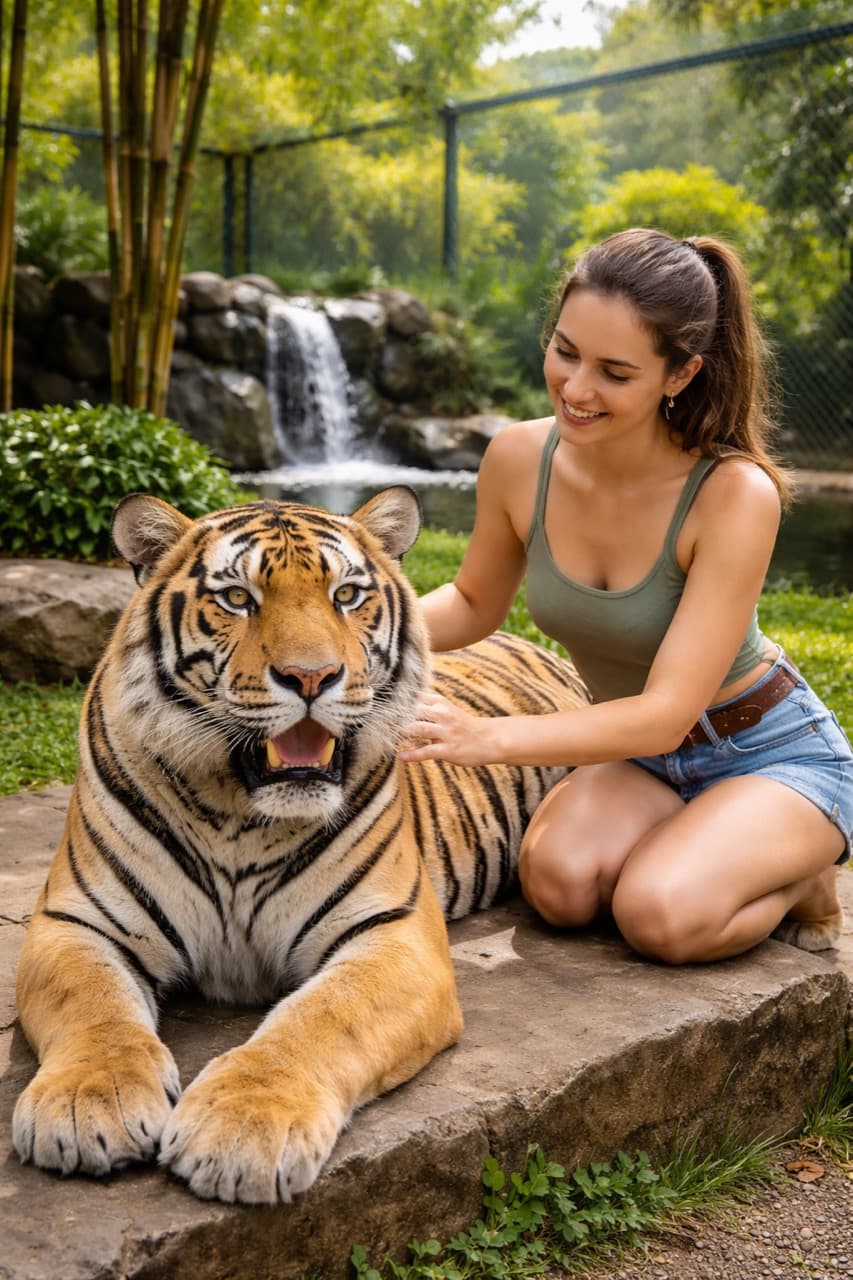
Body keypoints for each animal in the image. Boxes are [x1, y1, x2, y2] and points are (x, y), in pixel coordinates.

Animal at [13, 486, 589, 1205]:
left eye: (346, 595)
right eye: (237, 598)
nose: (312, 677)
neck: (237, 814)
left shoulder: (391, 932)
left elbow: (320, 1018)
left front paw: (243, 1128)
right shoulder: (75, 920)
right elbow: (93, 1006)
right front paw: (88, 1102)